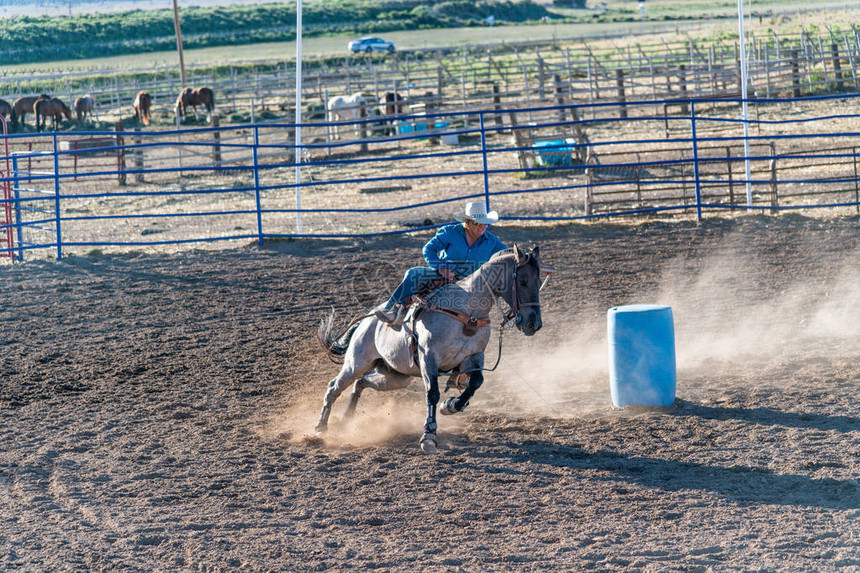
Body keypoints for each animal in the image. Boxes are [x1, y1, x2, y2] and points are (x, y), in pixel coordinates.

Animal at [318, 246, 552, 452]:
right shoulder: (429, 358)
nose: (534, 324)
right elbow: (432, 393)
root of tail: (367, 320)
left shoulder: (474, 357)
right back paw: (321, 428)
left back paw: (347, 418)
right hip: (356, 362)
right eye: (522, 281)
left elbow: (476, 383)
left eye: (539, 281)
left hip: (395, 376)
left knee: (361, 382)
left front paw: (451, 405)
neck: (468, 311)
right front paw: (429, 435)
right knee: (334, 387)